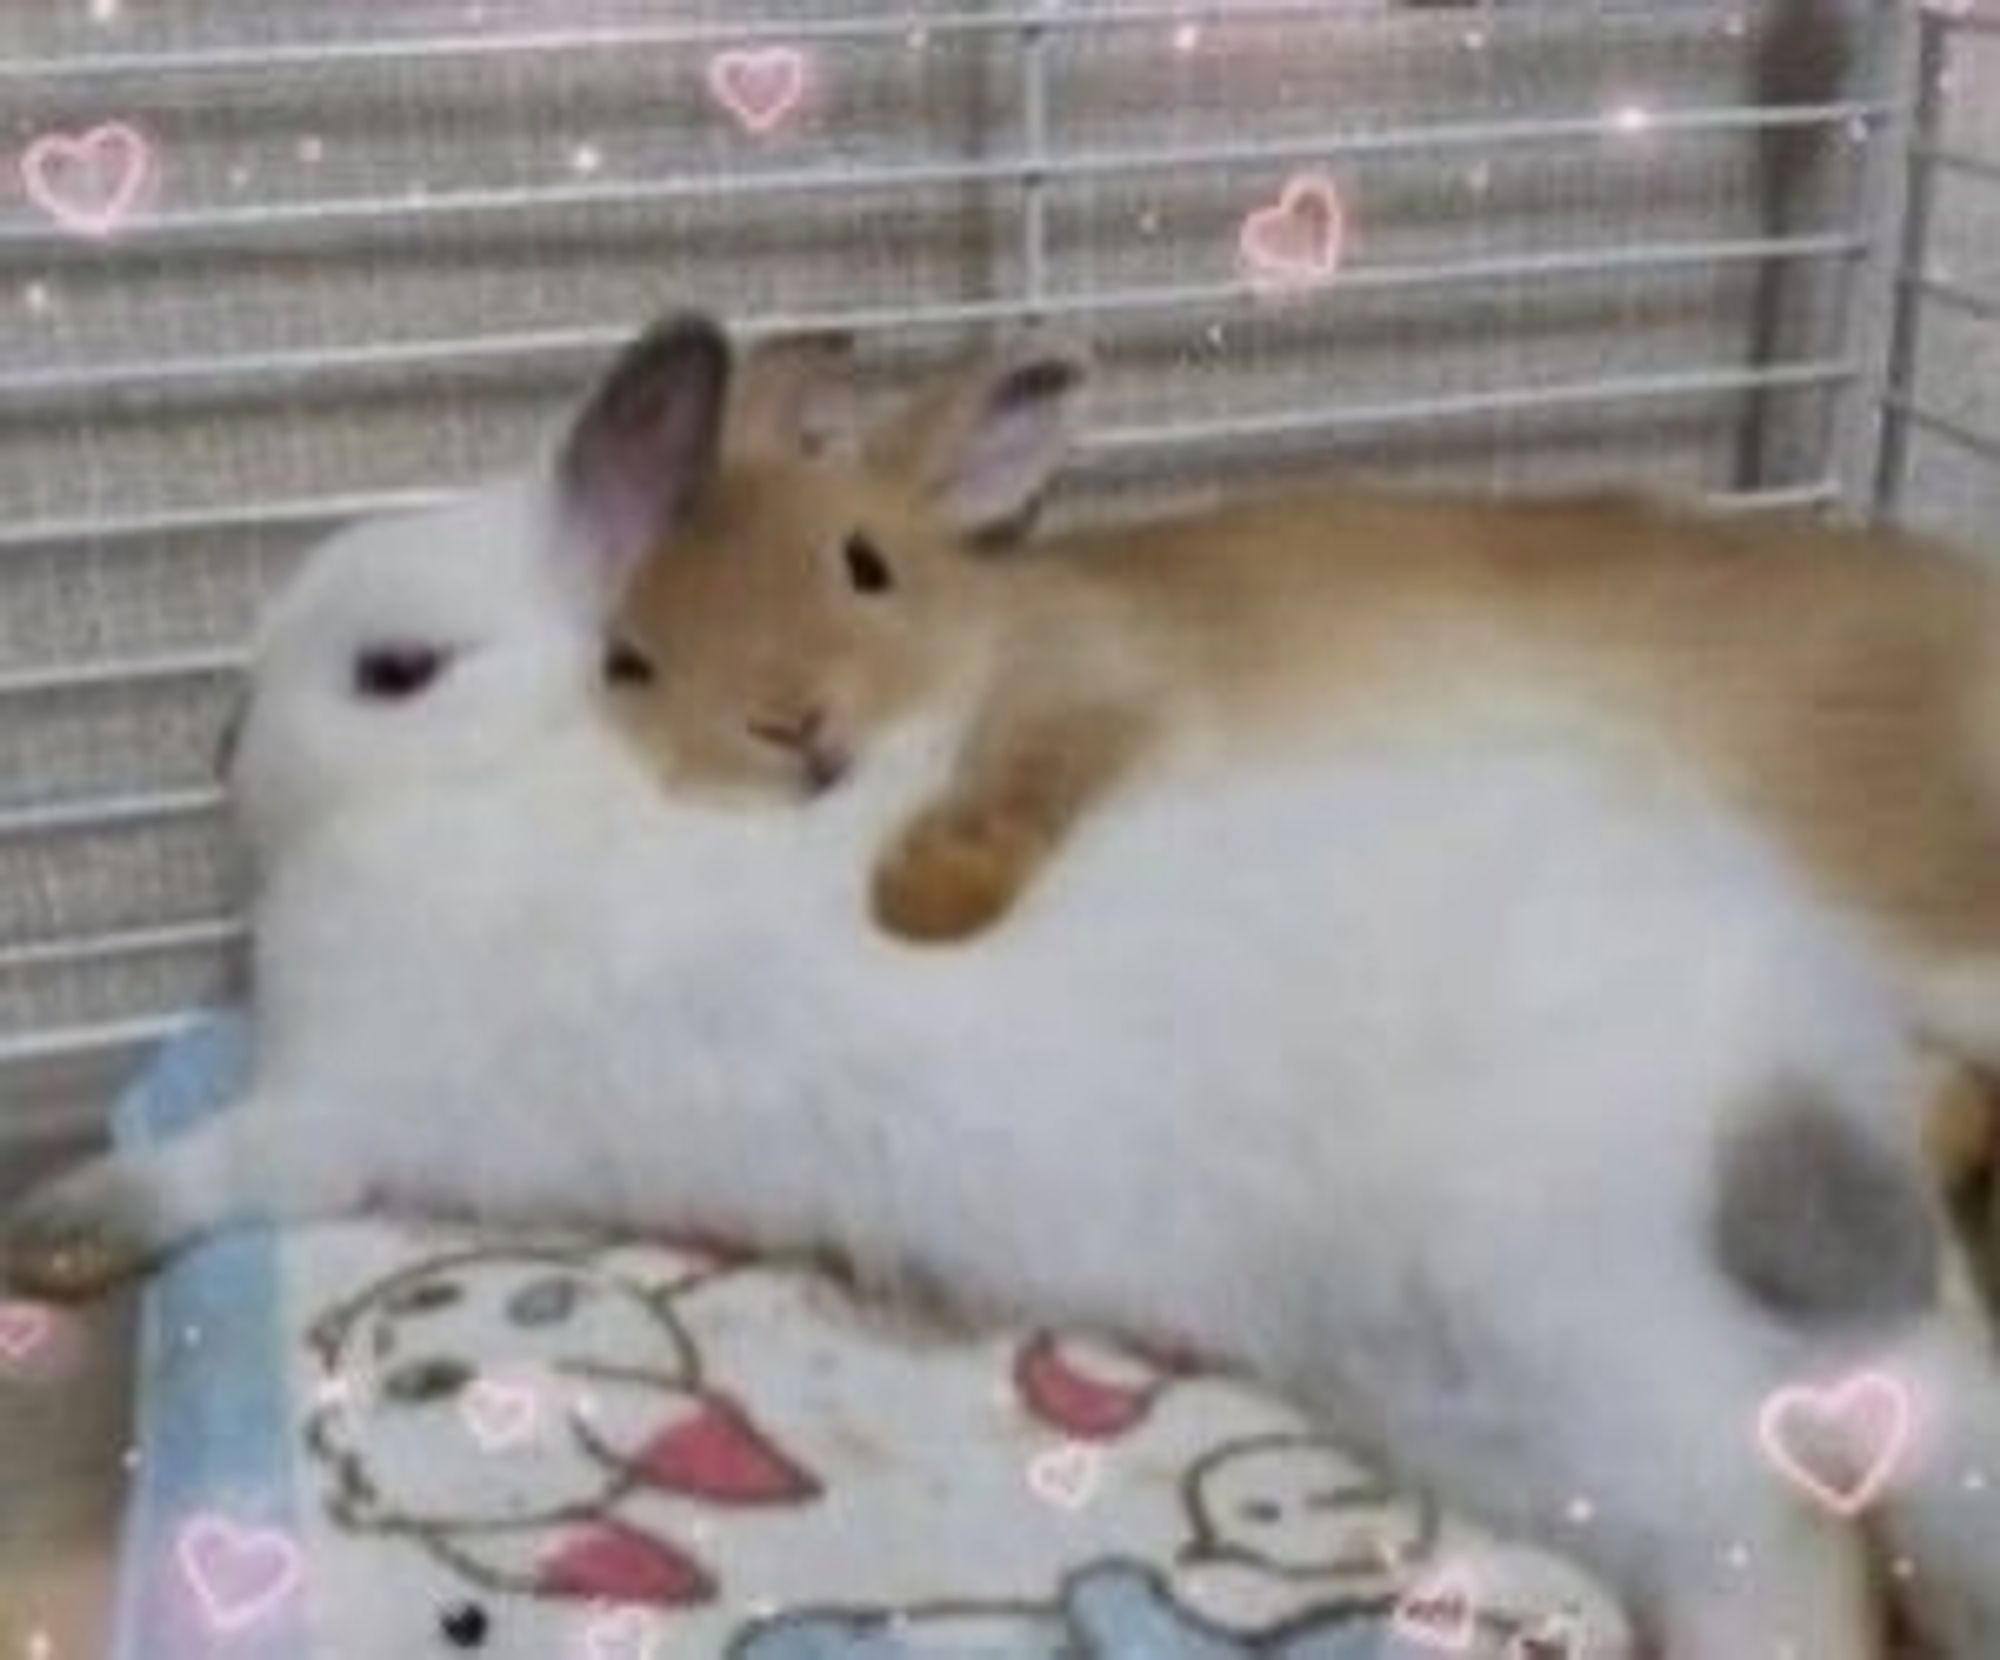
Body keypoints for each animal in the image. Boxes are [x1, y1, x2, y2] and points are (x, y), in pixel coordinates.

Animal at [580, 314, 2000, 1088]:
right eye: (632, 660)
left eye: (864, 564)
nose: (792, 725)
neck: (979, 630)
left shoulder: (1095, 686)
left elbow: (1021, 782)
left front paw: (926, 895)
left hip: (1876, 850)